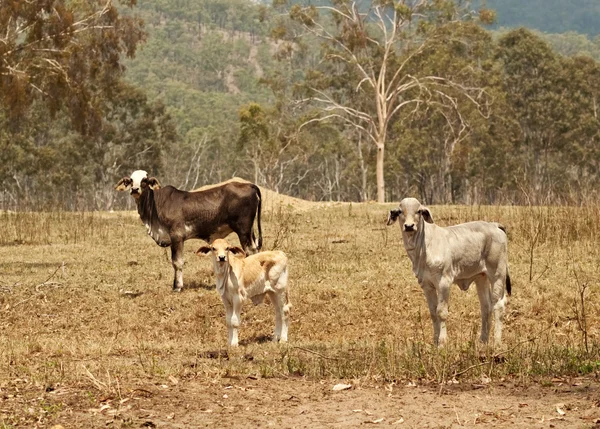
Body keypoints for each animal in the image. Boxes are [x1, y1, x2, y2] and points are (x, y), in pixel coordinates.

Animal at [116, 170, 262, 290]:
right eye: (130, 180)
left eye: (144, 180)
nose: (135, 189)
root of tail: (250, 185)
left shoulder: (177, 236)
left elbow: (177, 262)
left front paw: (177, 287)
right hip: (250, 231)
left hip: (243, 230)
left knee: (250, 251)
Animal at [390, 197, 510, 344]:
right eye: (400, 211)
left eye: (418, 211)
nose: (409, 226)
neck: (423, 249)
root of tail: (494, 225)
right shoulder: (426, 285)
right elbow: (433, 313)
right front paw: (435, 342)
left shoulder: (444, 283)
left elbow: (441, 312)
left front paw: (442, 342)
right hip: (481, 277)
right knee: (486, 307)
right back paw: (482, 341)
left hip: (497, 274)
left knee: (498, 305)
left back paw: (496, 343)